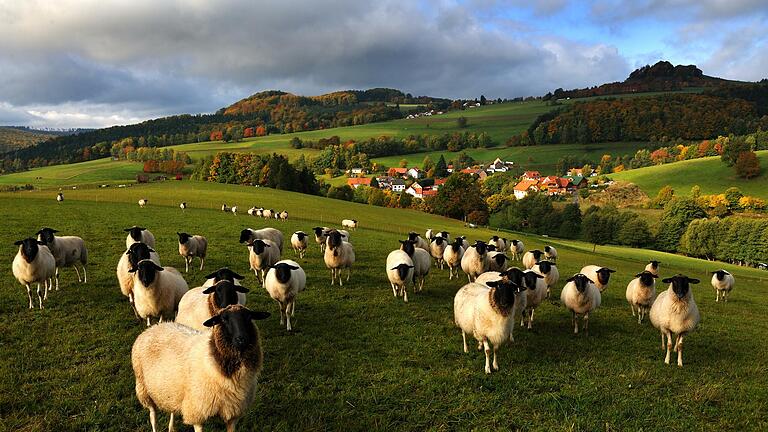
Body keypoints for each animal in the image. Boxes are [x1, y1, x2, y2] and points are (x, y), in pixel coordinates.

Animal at [129, 304, 268, 432]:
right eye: (223, 319)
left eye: (249, 317)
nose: (241, 339)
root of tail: (155, 327)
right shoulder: (197, 412)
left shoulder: (233, 413)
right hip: (143, 389)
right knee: (153, 416)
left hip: (171, 389)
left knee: (172, 408)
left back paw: (171, 427)